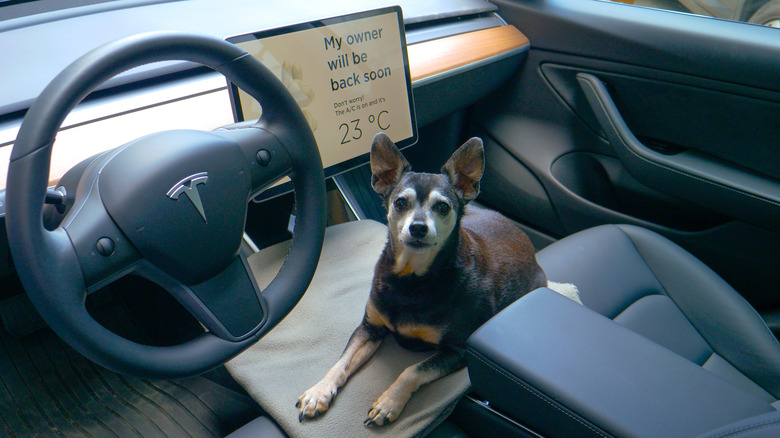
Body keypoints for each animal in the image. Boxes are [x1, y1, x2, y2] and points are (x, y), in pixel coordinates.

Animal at [296, 134, 576, 428]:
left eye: (442, 207)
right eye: (400, 203)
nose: (418, 227)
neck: (411, 279)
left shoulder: (459, 350)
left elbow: (412, 370)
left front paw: (389, 402)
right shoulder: (370, 328)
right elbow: (341, 362)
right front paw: (318, 392)